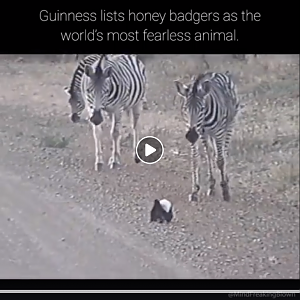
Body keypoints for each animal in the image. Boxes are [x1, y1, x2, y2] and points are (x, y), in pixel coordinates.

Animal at [173, 71, 239, 202]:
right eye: (185, 109)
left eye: (202, 108)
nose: (192, 136)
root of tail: (216, 72)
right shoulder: (193, 130)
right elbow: (195, 159)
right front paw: (194, 191)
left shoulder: (218, 132)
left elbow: (220, 160)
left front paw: (225, 190)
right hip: (205, 135)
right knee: (210, 154)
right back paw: (211, 185)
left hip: (229, 125)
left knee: (223, 152)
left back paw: (225, 179)